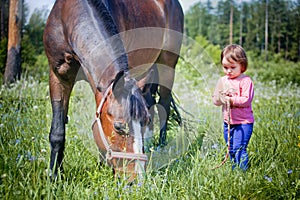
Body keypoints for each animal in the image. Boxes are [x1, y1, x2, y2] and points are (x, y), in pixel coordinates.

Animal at [42, 0, 183, 180]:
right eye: (119, 127)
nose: (137, 179)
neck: (68, 17)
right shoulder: (58, 76)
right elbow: (58, 130)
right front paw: (54, 176)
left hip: (167, 65)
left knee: (164, 103)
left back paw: (161, 146)